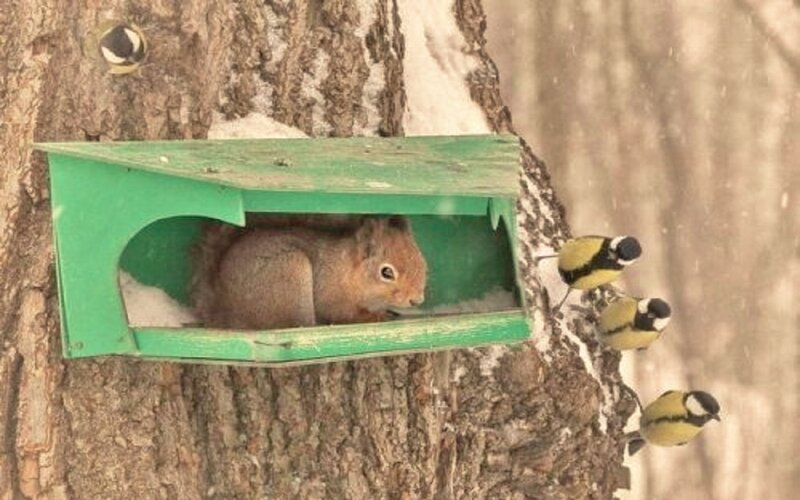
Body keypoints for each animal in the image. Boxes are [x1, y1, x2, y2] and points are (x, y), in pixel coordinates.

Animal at [193, 215, 427, 329]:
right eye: (386, 272)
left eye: (423, 263)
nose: (416, 300)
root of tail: (225, 312)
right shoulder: (331, 296)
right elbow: (343, 314)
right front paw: (377, 316)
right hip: (290, 274)